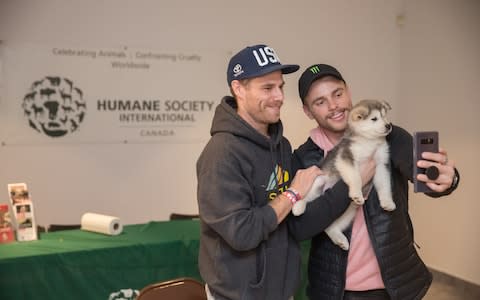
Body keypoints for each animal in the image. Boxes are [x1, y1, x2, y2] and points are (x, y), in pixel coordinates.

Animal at [294, 99, 396, 250]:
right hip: (317, 181)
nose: (388, 125)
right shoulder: (346, 157)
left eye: (384, 115)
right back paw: (298, 207)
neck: (369, 141)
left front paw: (387, 202)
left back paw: (339, 238)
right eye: (374, 119)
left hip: (350, 209)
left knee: (330, 227)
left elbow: (384, 185)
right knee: (305, 197)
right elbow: (355, 177)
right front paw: (357, 192)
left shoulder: (381, 165)